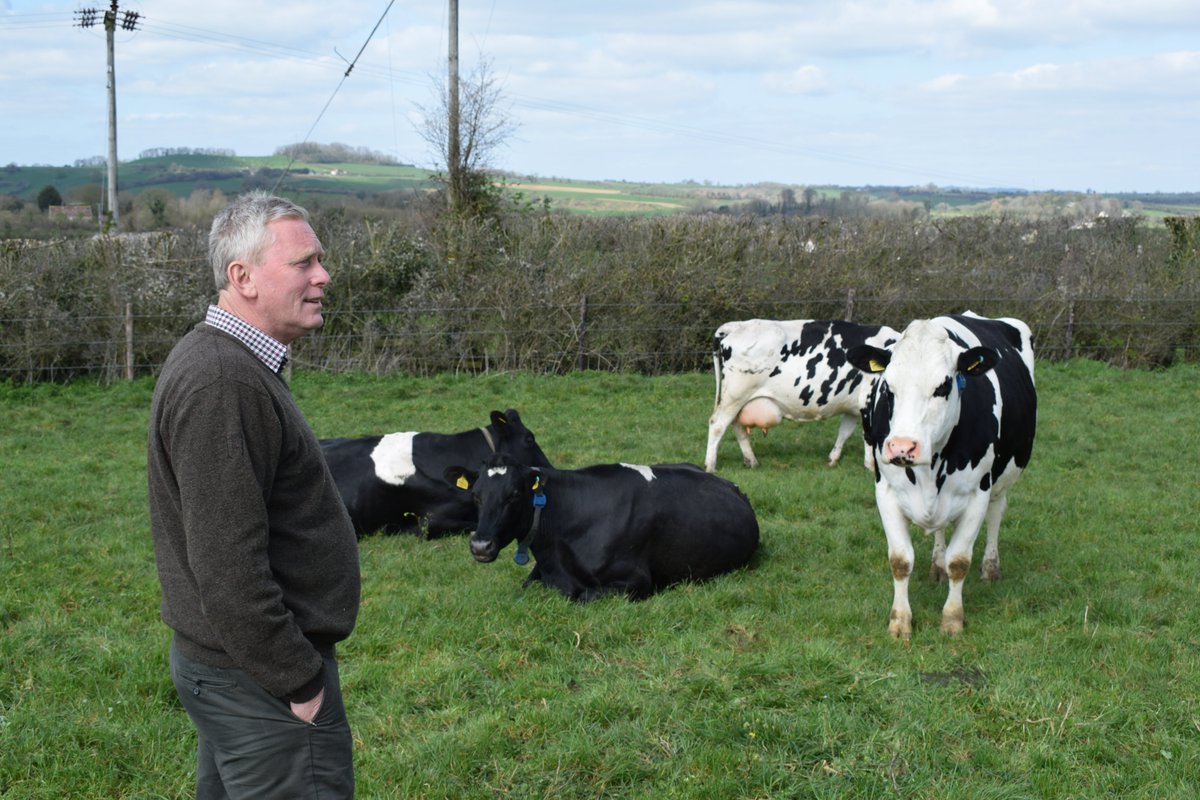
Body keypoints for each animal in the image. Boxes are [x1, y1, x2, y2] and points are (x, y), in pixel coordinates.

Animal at [705, 316, 897, 472]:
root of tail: (737, 325)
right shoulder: (868, 399)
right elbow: (869, 435)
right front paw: (871, 466)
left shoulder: (853, 406)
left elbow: (845, 432)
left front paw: (833, 459)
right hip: (735, 395)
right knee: (718, 424)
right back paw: (710, 466)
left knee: (736, 425)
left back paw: (751, 461)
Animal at [844, 311, 1041, 638]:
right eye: (888, 388)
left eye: (943, 386)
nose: (902, 446)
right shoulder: (886, 491)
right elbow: (900, 560)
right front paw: (900, 622)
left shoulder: (977, 494)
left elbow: (959, 561)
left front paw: (952, 619)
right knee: (939, 530)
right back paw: (936, 565)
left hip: (1002, 481)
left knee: (996, 514)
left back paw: (991, 568)